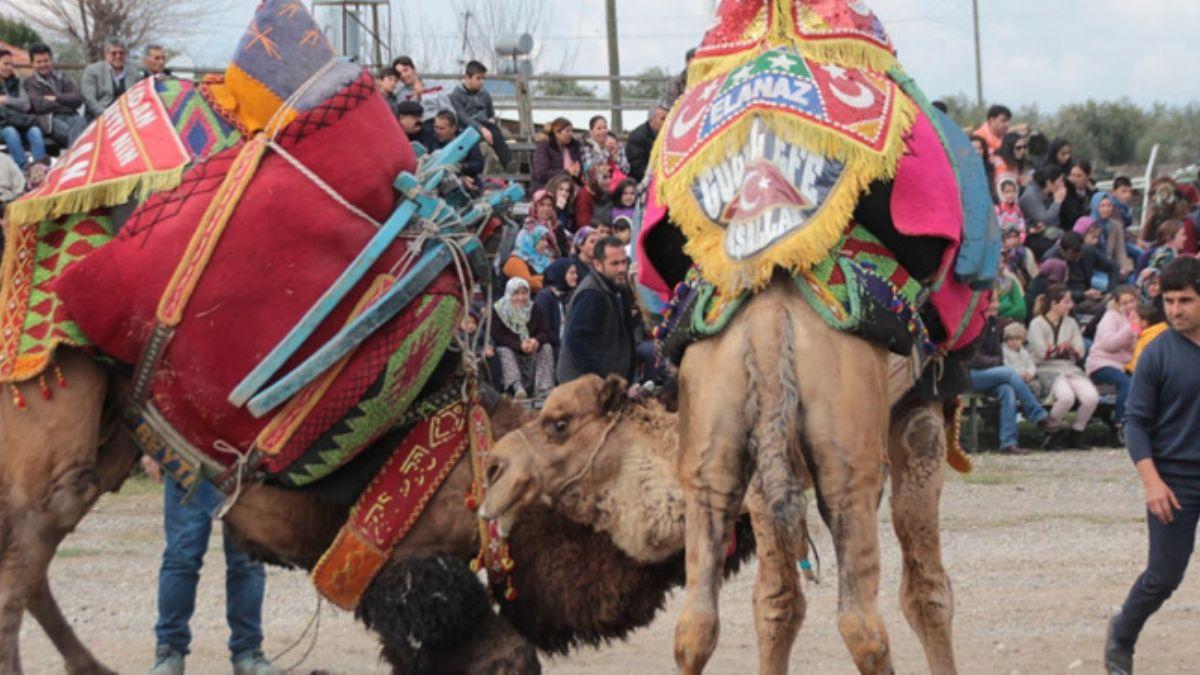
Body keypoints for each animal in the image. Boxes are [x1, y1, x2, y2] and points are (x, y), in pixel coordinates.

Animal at [0, 348, 758, 667]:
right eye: (561, 420)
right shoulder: (408, 571)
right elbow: (505, 657)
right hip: (51, 441)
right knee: (17, 573)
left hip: (104, 448)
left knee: (27, 570)